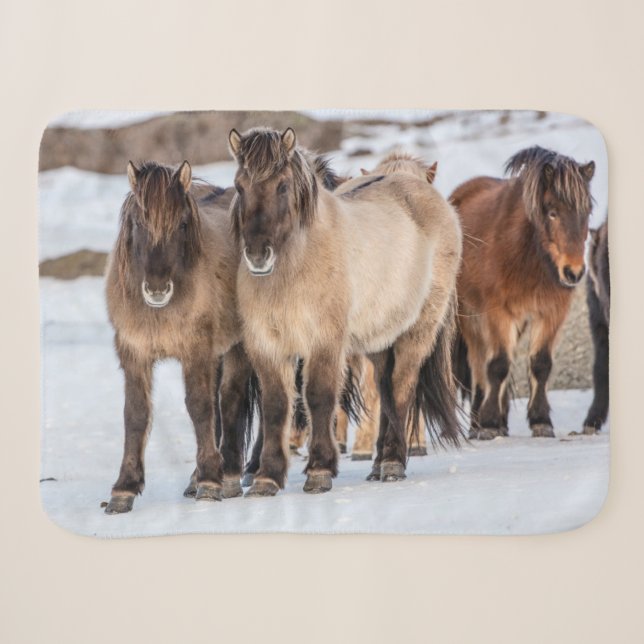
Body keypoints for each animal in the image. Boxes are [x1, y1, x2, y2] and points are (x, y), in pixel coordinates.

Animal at [103, 160, 257, 513]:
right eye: (138, 222)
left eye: (183, 224)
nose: (158, 290)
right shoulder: (134, 353)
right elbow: (135, 414)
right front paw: (123, 489)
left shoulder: (195, 352)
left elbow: (200, 408)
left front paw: (211, 483)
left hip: (237, 348)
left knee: (229, 401)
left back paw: (227, 476)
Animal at [228, 127, 462, 496]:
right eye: (239, 186)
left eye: (282, 185)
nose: (257, 255)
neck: (296, 267)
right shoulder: (267, 345)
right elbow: (276, 406)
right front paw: (267, 477)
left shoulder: (325, 342)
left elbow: (319, 397)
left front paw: (320, 470)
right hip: (380, 339)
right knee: (384, 389)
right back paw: (379, 463)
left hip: (417, 331)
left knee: (402, 388)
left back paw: (393, 462)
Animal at [450, 146, 596, 440]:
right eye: (552, 212)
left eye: (587, 211)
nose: (573, 272)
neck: (527, 255)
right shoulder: (497, 313)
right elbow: (497, 365)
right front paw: (489, 422)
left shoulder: (551, 313)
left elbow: (540, 364)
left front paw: (541, 421)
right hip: (470, 318)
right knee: (479, 365)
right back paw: (478, 423)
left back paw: (502, 423)